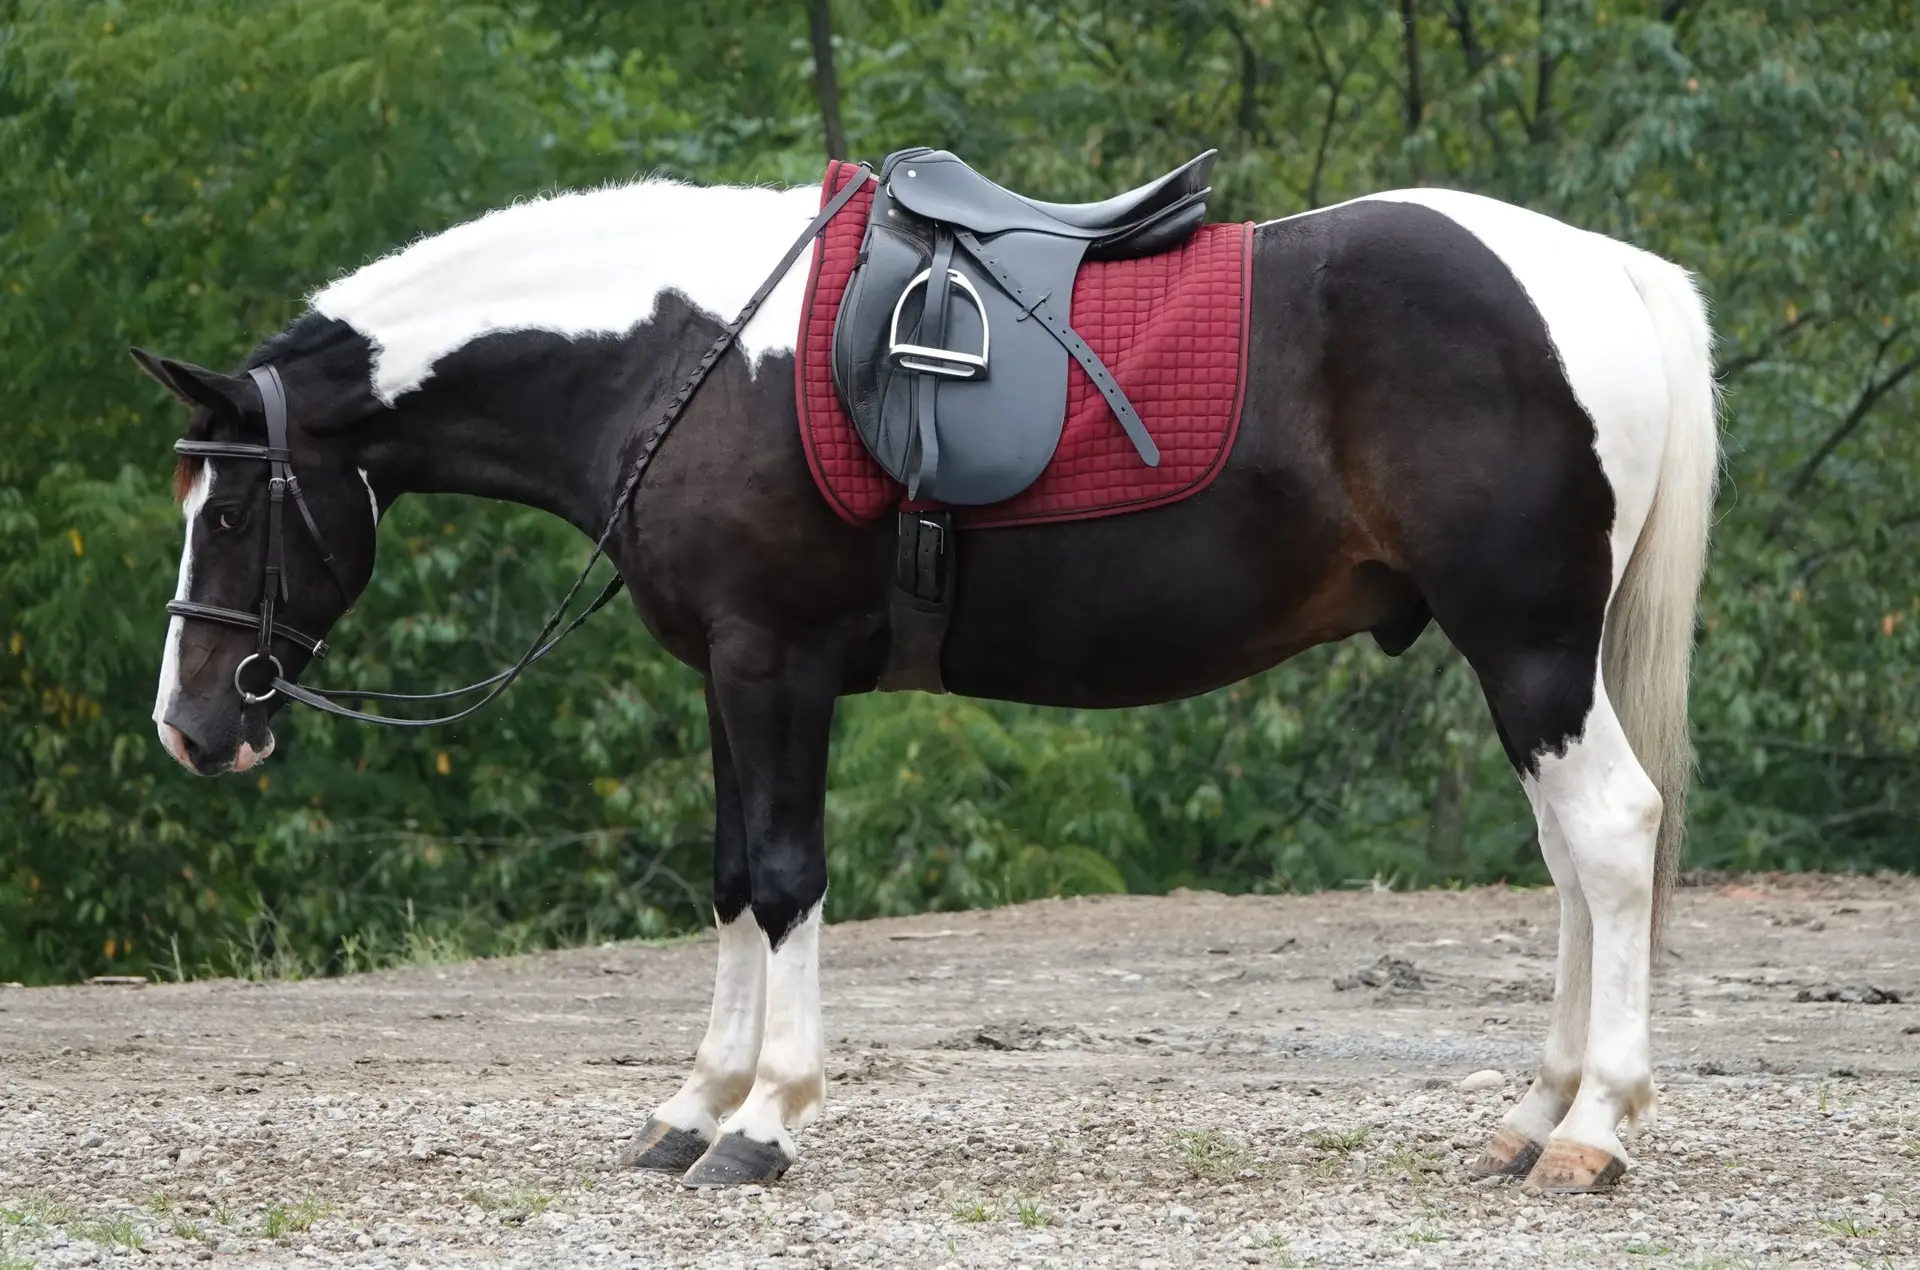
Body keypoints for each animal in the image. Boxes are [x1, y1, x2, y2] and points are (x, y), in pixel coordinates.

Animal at [137, 158, 1717, 1193]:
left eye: (236, 506)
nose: (196, 723)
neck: (679, 358)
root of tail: (1601, 272)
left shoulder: (775, 665)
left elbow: (785, 878)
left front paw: (764, 1124)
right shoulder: (725, 676)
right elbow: (732, 879)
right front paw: (693, 1108)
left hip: (1526, 645)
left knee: (1610, 839)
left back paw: (1592, 1131)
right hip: (1531, 660)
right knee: (1572, 867)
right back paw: (1535, 1115)